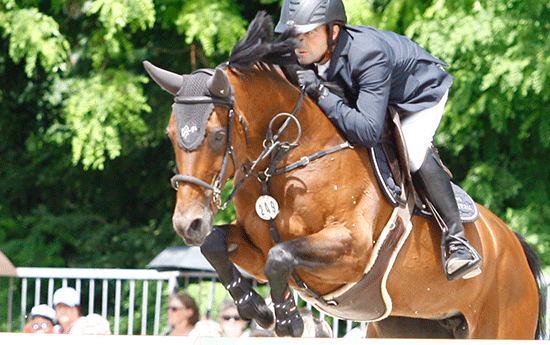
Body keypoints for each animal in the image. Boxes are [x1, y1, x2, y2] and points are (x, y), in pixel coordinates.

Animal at [143, 12, 548, 338]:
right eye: (171, 135)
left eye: (215, 136)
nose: (187, 224)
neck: (286, 163)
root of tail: (515, 246)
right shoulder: (255, 249)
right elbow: (218, 246)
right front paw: (256, 308)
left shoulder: (351, 250)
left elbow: (280, 256)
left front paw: (288, 319)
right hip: (412, 325)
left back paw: (459, 254)